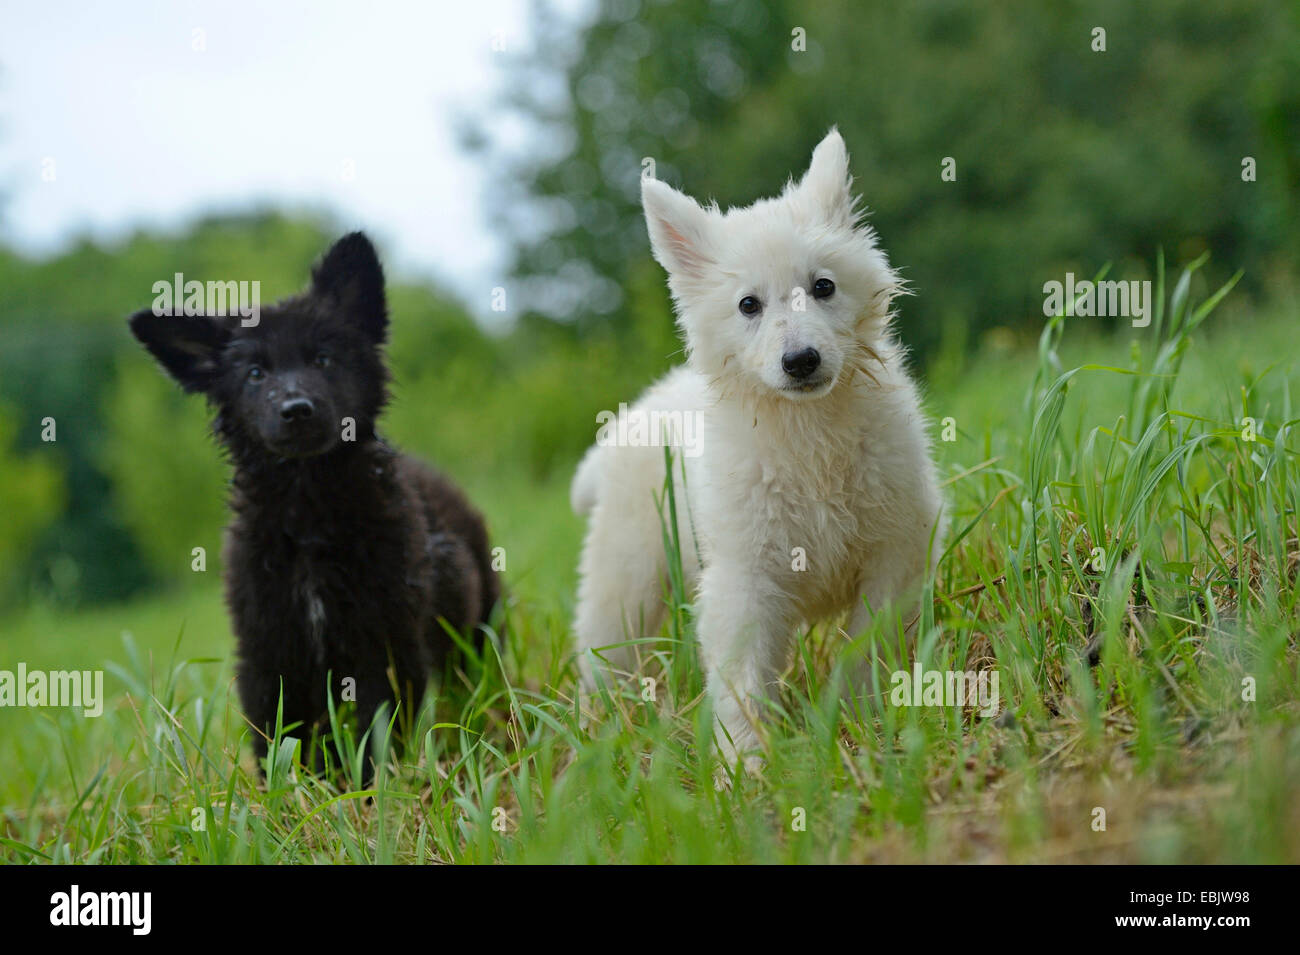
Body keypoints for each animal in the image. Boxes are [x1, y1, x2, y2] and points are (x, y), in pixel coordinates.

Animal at [129, 235, 496, 774]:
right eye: (255, 374)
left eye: (323, 359)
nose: (296, 410)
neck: (307, 510)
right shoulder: (269, 647)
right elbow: (281, 741)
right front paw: (293, 792)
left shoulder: (385, 639)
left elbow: (377, 729)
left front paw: (373, 787)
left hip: (479, 620)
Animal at [569, 128, 946, 769]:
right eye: (750, 305)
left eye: (823, 287)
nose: (801, 361)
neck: (808, 434)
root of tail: (627, 421)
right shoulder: (744, 578)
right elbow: (740, 682)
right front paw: (746, 769)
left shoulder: (897, 548)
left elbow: (865, 647)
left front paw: (856, 721)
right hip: (625, 583)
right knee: (603, 663)